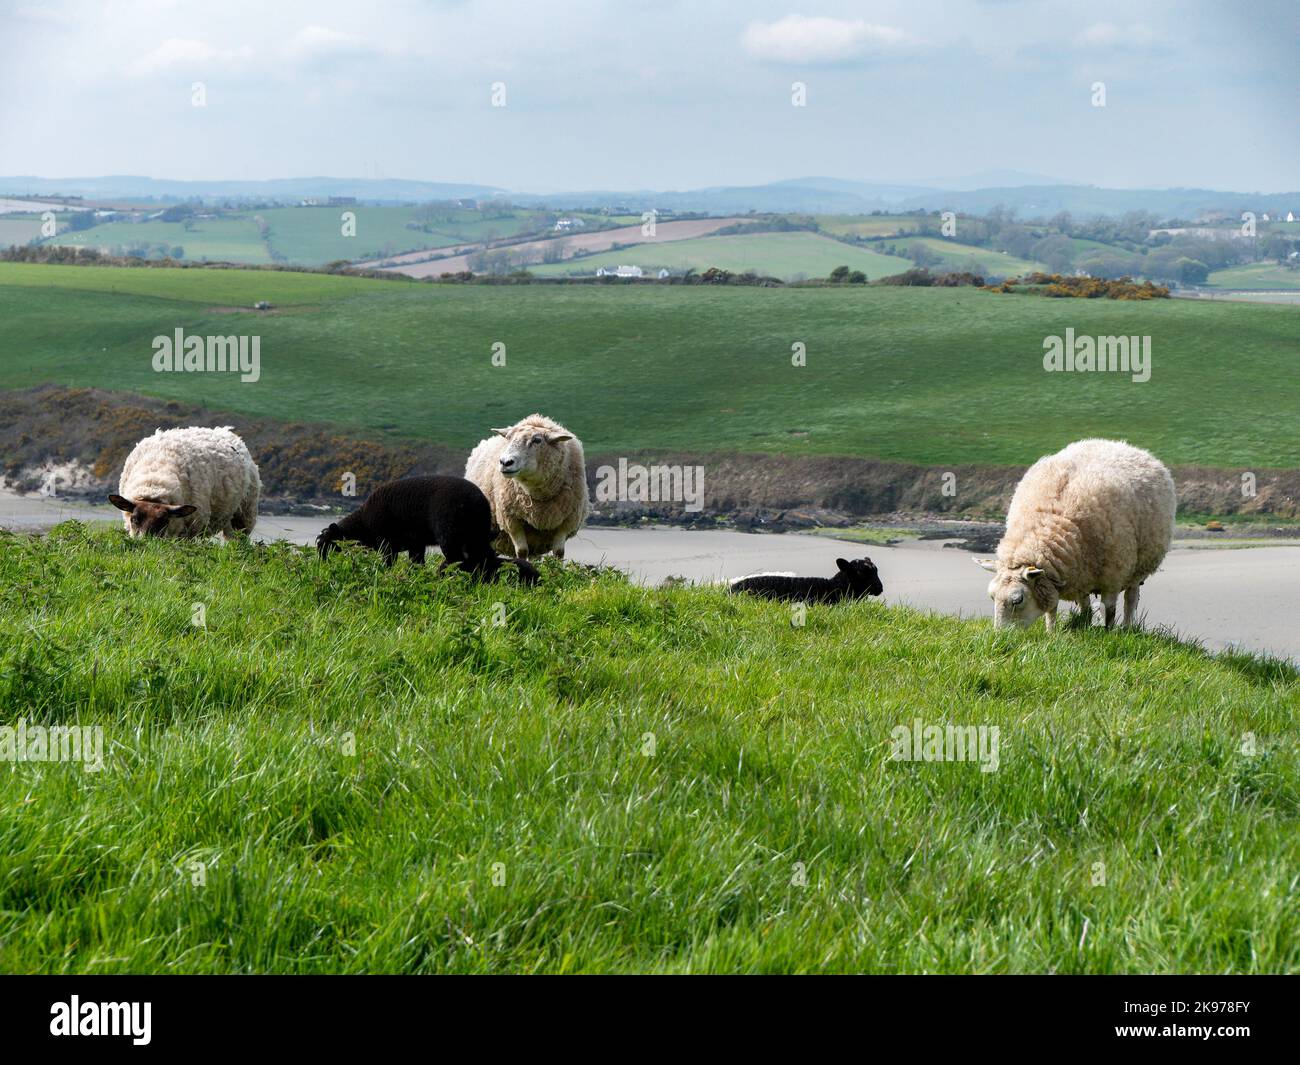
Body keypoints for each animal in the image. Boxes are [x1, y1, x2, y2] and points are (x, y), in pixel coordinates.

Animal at [107, 426, 260, 540]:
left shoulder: (192, 526)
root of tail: (227, 431)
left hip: (244, 513)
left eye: (164, 521)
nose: (145, 541)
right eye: (134, 519)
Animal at [318, 478, 538, 587]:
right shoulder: (415, 543)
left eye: (326, 543)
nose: (321, 565)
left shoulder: (386, 543)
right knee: (481, 558)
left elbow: (388, 564)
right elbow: (416, 563)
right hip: (476, 536)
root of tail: (479, 502)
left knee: (459, 560)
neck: (362, 525)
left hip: (450, 533)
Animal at [467, 413, 590, 559]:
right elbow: (521, 551)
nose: (505, 462)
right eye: (508, 438)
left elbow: (558, 553)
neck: (539, 493)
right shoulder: (512, 520)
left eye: (537, 440)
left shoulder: (567, 522)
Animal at [977, 436, 1180, 629]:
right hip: (1084, 573)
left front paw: (1108, 633)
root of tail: (1120, 444)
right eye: (992, 597)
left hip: (1136, 570)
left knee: (1130, 599)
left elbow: (1109, 612)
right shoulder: (1059, 578)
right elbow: (1052, 611)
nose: (1002, 636)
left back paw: (1127, 628)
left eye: (1017, 600)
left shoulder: (1112, 579)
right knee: (1086, 604)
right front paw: (1053, 632)